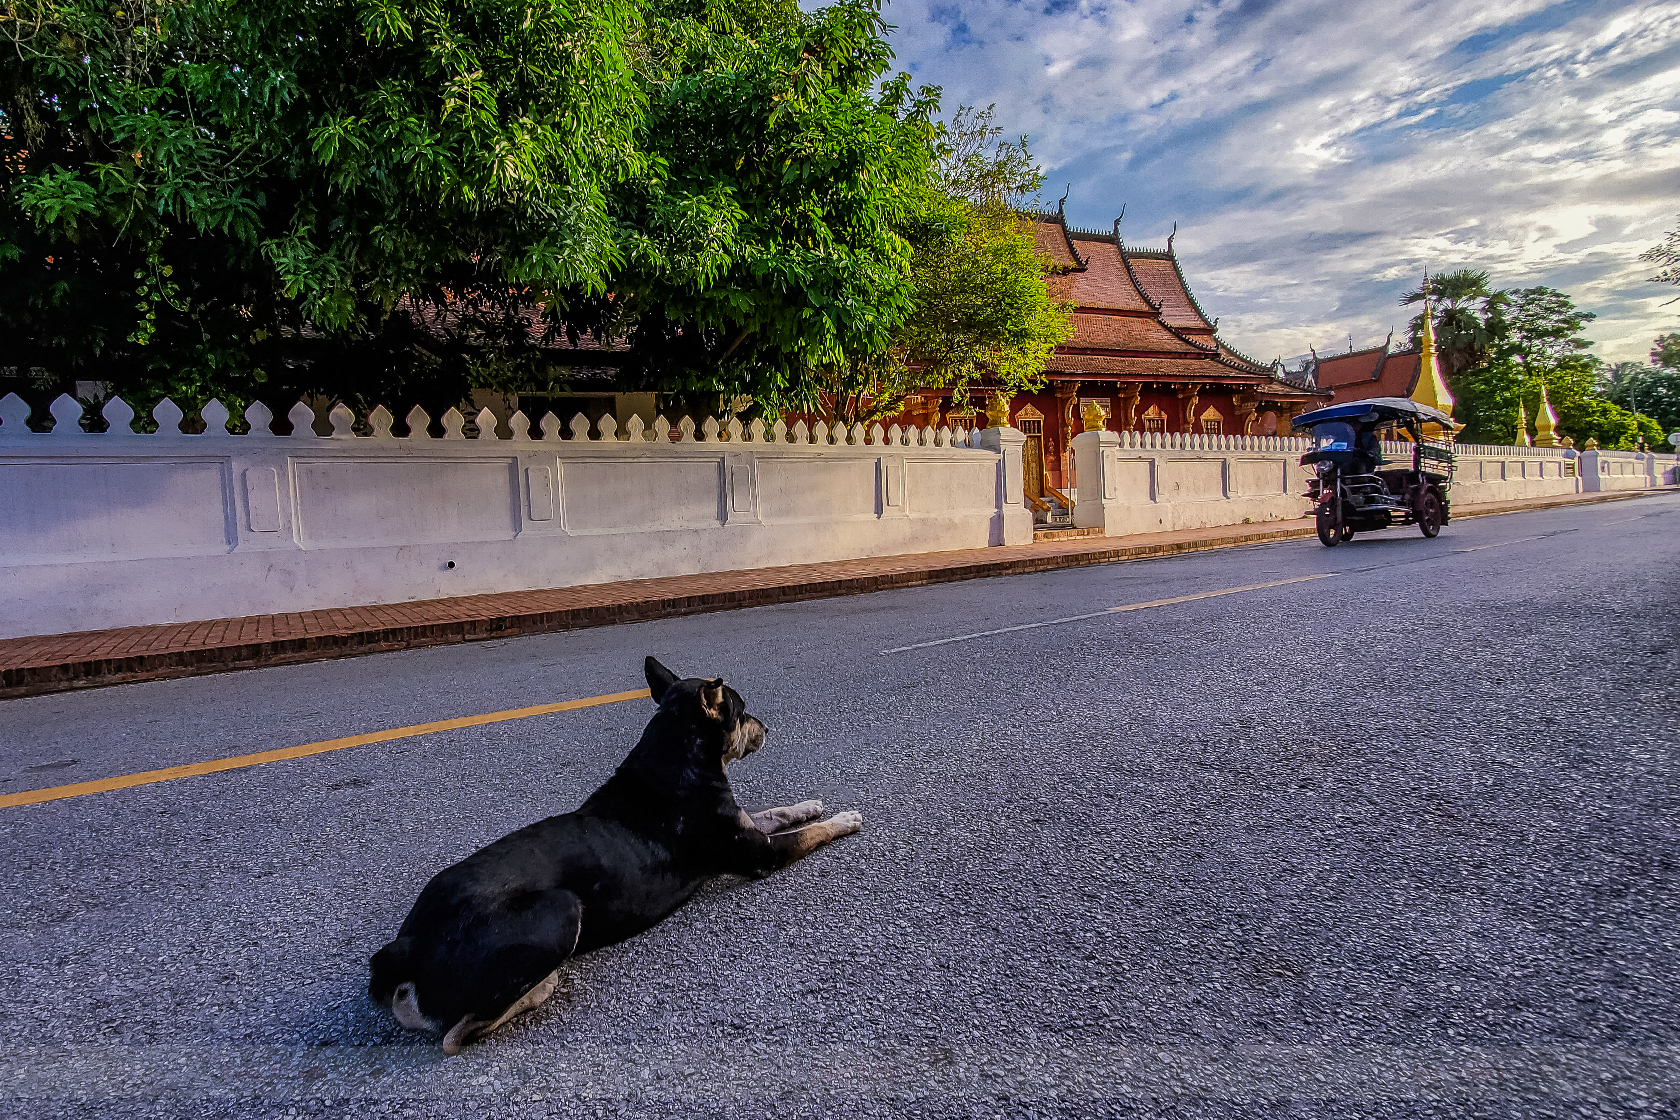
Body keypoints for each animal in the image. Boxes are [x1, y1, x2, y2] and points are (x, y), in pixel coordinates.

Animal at [369, 658, 866, 1054]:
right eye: (741, 713)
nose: (767, 728)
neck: (674, 762)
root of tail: (405, 947)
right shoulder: (760, 854)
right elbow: (809, 834)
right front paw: (844, 819)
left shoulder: (748, 830)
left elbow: (780, 812)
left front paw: (811, 805)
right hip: (561, 909)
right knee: (458, 1035)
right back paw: (540, 987)